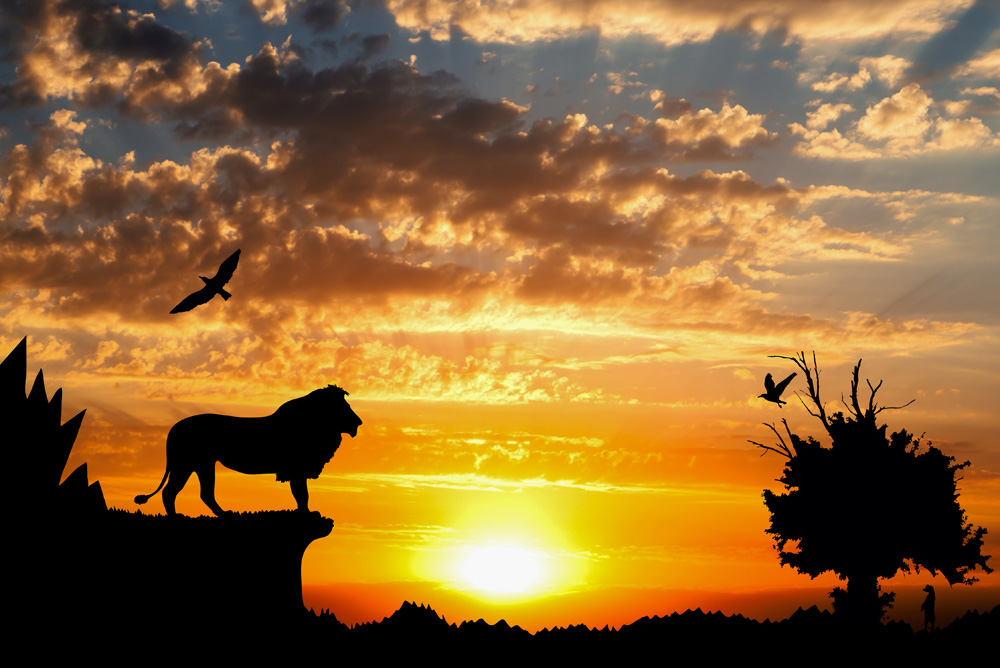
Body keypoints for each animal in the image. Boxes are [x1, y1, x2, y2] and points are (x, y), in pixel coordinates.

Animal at [135, 385, 362, 516]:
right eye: (344, 407)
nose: (358, 422)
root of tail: (174, 429)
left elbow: (301, 494)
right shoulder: (297, 469)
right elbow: (301, 494)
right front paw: (306, 515)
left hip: (200, 464)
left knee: (202, 493)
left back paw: (224, 515)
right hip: (188, 463)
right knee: (171, 492)